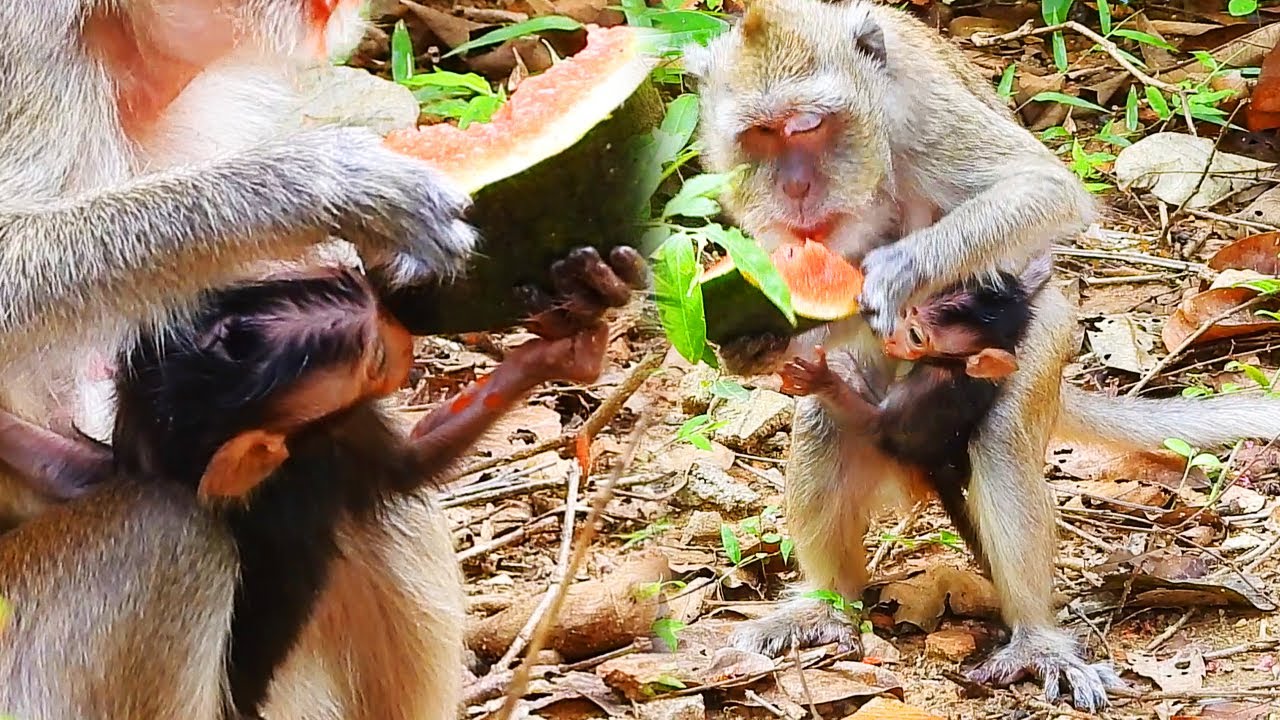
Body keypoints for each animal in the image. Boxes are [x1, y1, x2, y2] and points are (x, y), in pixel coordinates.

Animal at [682, 0, 1280, 710]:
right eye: (763, 136)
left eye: (811, 125)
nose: (797, 188)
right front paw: (754, 343)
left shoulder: (922, 111)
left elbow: (1041, 187)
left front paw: (902, 269)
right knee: (826, 421)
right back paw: (827, 605)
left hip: (1042, 340)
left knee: (1001, 438)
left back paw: (1036, 639)